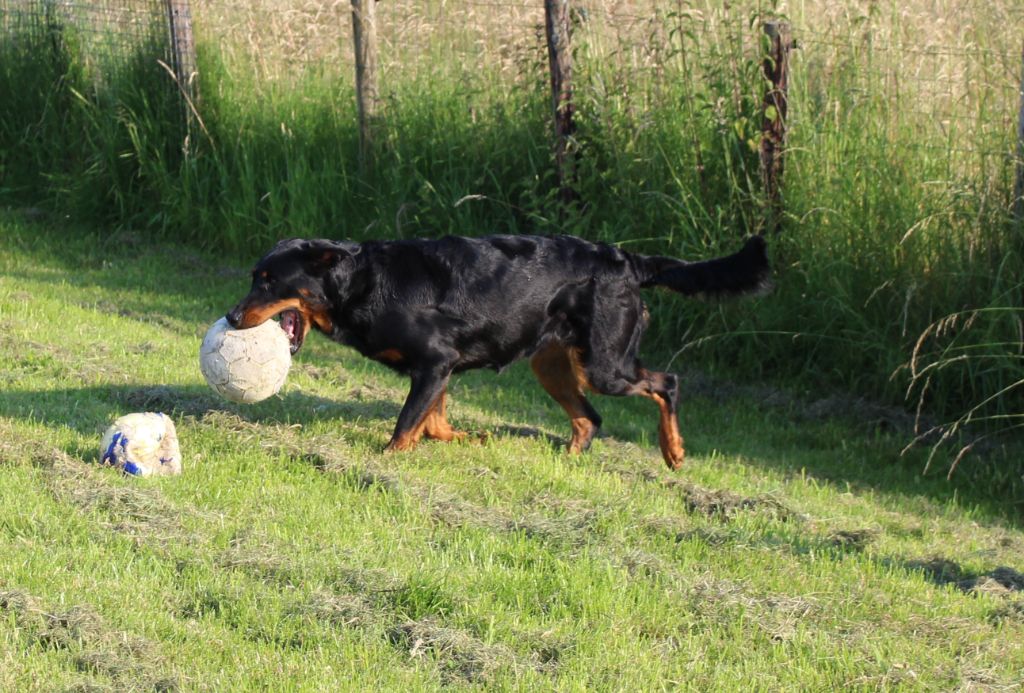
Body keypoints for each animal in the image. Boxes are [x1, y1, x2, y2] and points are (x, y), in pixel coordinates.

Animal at [224, 233, 770, 470]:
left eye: (269, 281)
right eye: (253, 276)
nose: (231, 318)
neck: (360, 282)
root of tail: (629, 262)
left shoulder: (435, 363)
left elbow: (407, 425)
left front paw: (386, 460)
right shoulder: (440, 370)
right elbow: (435, 423)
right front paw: (471, 439)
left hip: (605, 363)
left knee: (666, 384)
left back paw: (673, 451)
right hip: (552, 362)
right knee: (589, 418)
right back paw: (568, 459)